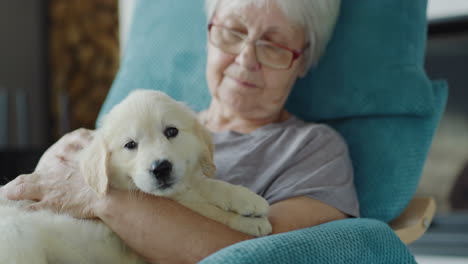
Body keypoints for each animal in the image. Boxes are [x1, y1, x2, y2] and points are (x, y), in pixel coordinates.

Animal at [0, 90, 270, 264]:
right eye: (130, 145)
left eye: (171, 131)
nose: (161, 168)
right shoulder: (173, 199)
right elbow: (205, 203)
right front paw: (249, 221)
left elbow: (205, 185)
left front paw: (244, 198)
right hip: (17, 238)